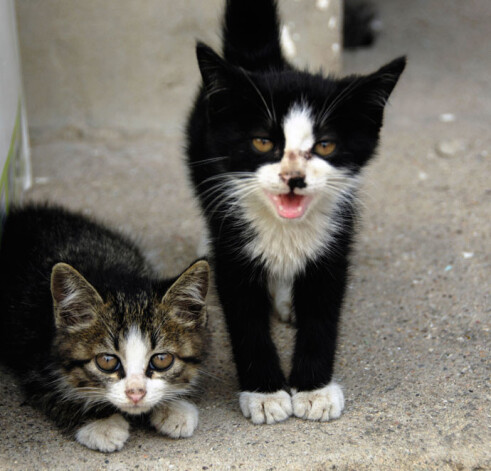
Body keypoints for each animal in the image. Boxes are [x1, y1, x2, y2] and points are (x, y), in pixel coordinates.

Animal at [0, 205, 209, 452]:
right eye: (107, 361)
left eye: (162, 359)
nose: (136, 393)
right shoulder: (33, 356)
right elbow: (53, 391)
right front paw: (101, 424)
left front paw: (175, 406)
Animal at [186, 0, 406, 426]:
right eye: (262, 141)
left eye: (325, 145)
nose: (294, 178)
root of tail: (262, 62)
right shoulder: (234, 245)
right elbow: (244, 315)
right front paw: (265, 393)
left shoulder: (336, 238)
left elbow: (322, 311)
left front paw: (313, 389)